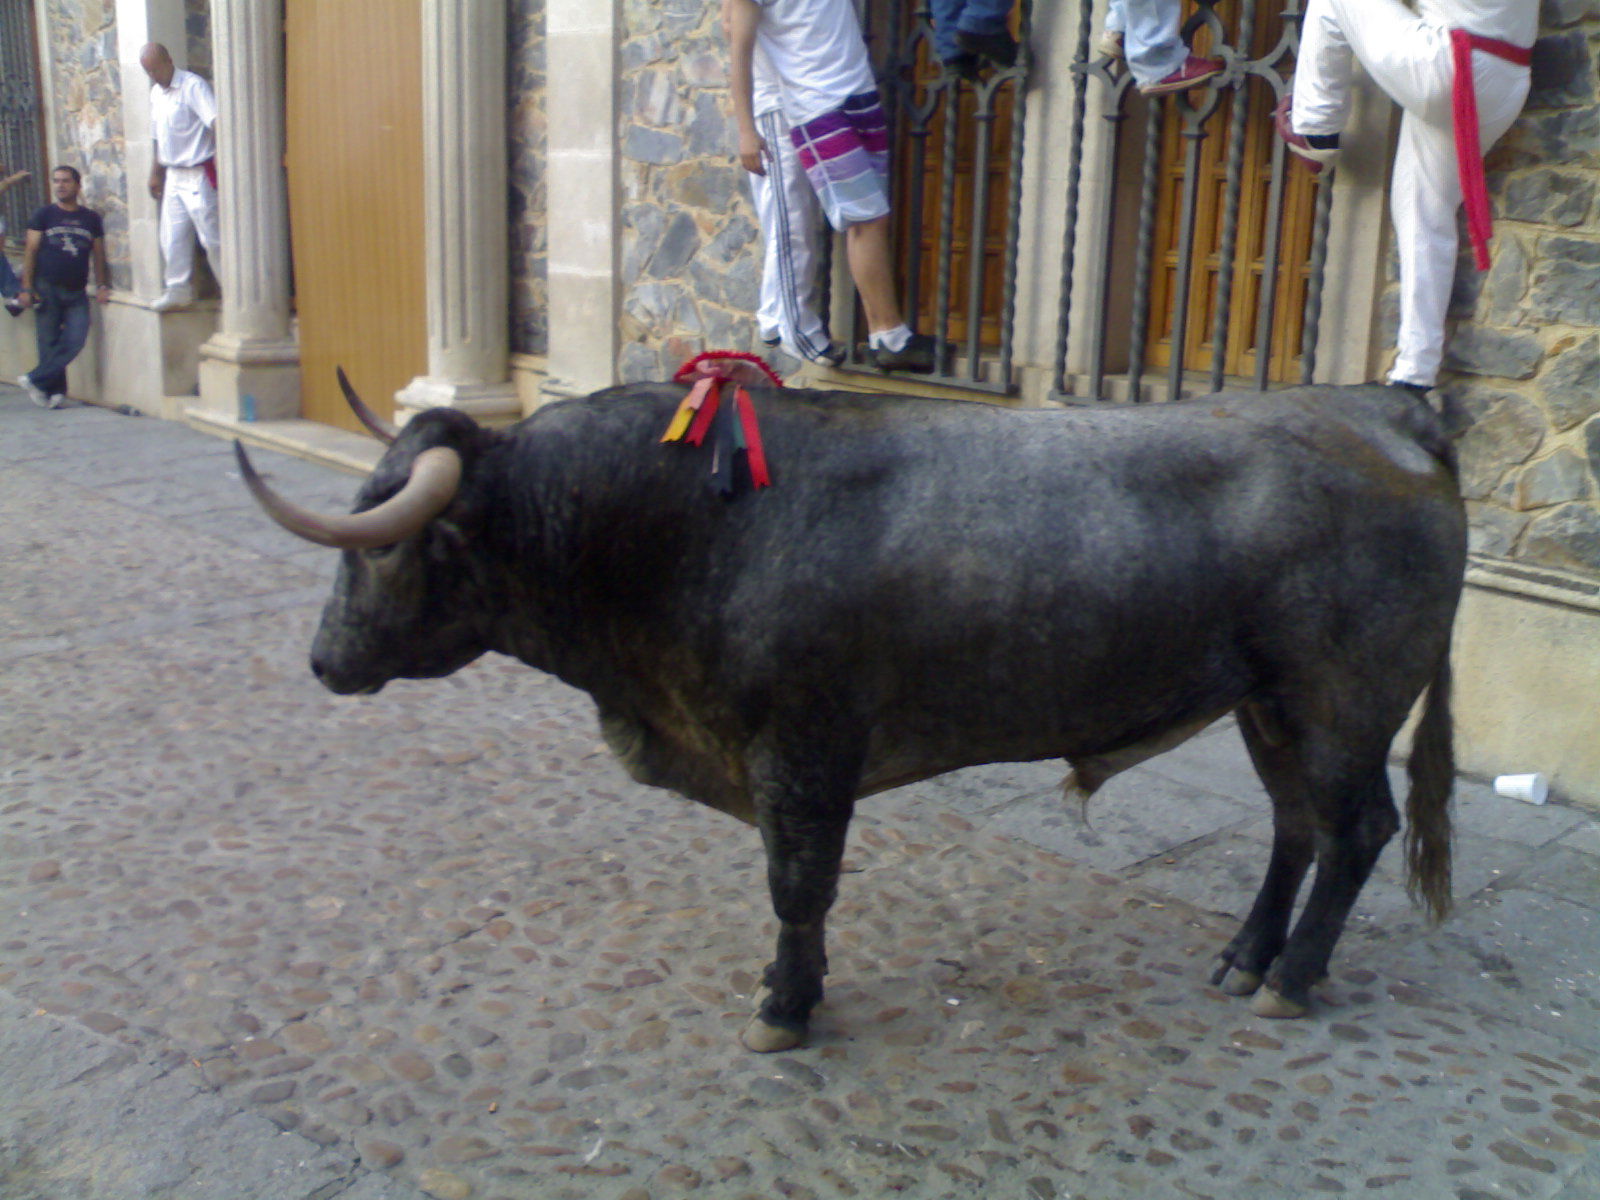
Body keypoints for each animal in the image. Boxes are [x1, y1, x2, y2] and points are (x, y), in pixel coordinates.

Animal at [232, 380, 1465, 1056]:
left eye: (385, 541)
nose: (324, 661)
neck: (693, 525)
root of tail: (1382, 406)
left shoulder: (803, 751)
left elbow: (797, 885)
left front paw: (784, 1005)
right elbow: (803, 893)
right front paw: (798, 989)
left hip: (1344, 700)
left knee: (1355, 831)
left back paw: (1292, 980)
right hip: (1268, 705)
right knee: (1296, 829)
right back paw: (1245, 957)